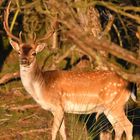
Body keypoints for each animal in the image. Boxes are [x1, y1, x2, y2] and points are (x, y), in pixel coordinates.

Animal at [3, 1, 137, 139]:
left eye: (34, 53)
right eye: (19, 52)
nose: (24, 61)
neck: (42, 87)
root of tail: (130, 85)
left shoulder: (57, 106)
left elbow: (53, 131)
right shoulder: (60, 110)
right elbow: (63, 132)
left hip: (116, 104)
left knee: (128, 125)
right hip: (108, 108)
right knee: (118, 127)